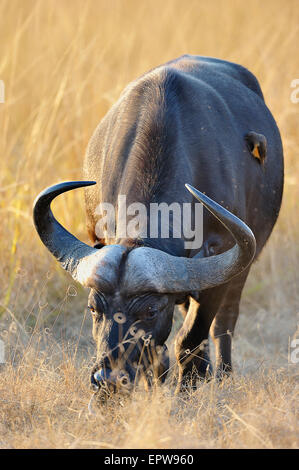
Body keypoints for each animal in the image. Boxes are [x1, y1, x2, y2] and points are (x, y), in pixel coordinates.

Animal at [32, 54, 284, 392]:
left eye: (149, 311)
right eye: (93, 308)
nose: (108, 380)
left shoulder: (220, 268)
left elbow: (190, 339)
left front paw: (188, 387)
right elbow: (158, 350)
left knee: (225, 322)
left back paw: (222, 373)